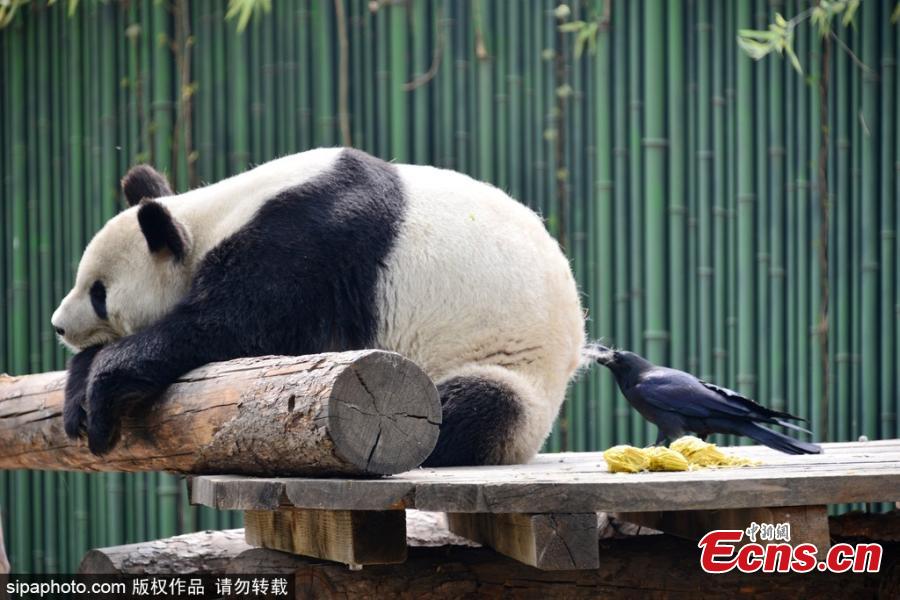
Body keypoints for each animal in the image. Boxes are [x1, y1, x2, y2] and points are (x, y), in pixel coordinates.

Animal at [54, 148, 592, 466]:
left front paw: (104, 386)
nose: (59, 326)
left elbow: (234, 330)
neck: (211, 217)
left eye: (99, 293)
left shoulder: (308, 244)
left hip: (512, 372)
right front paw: (79, 391)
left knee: (470, 405)